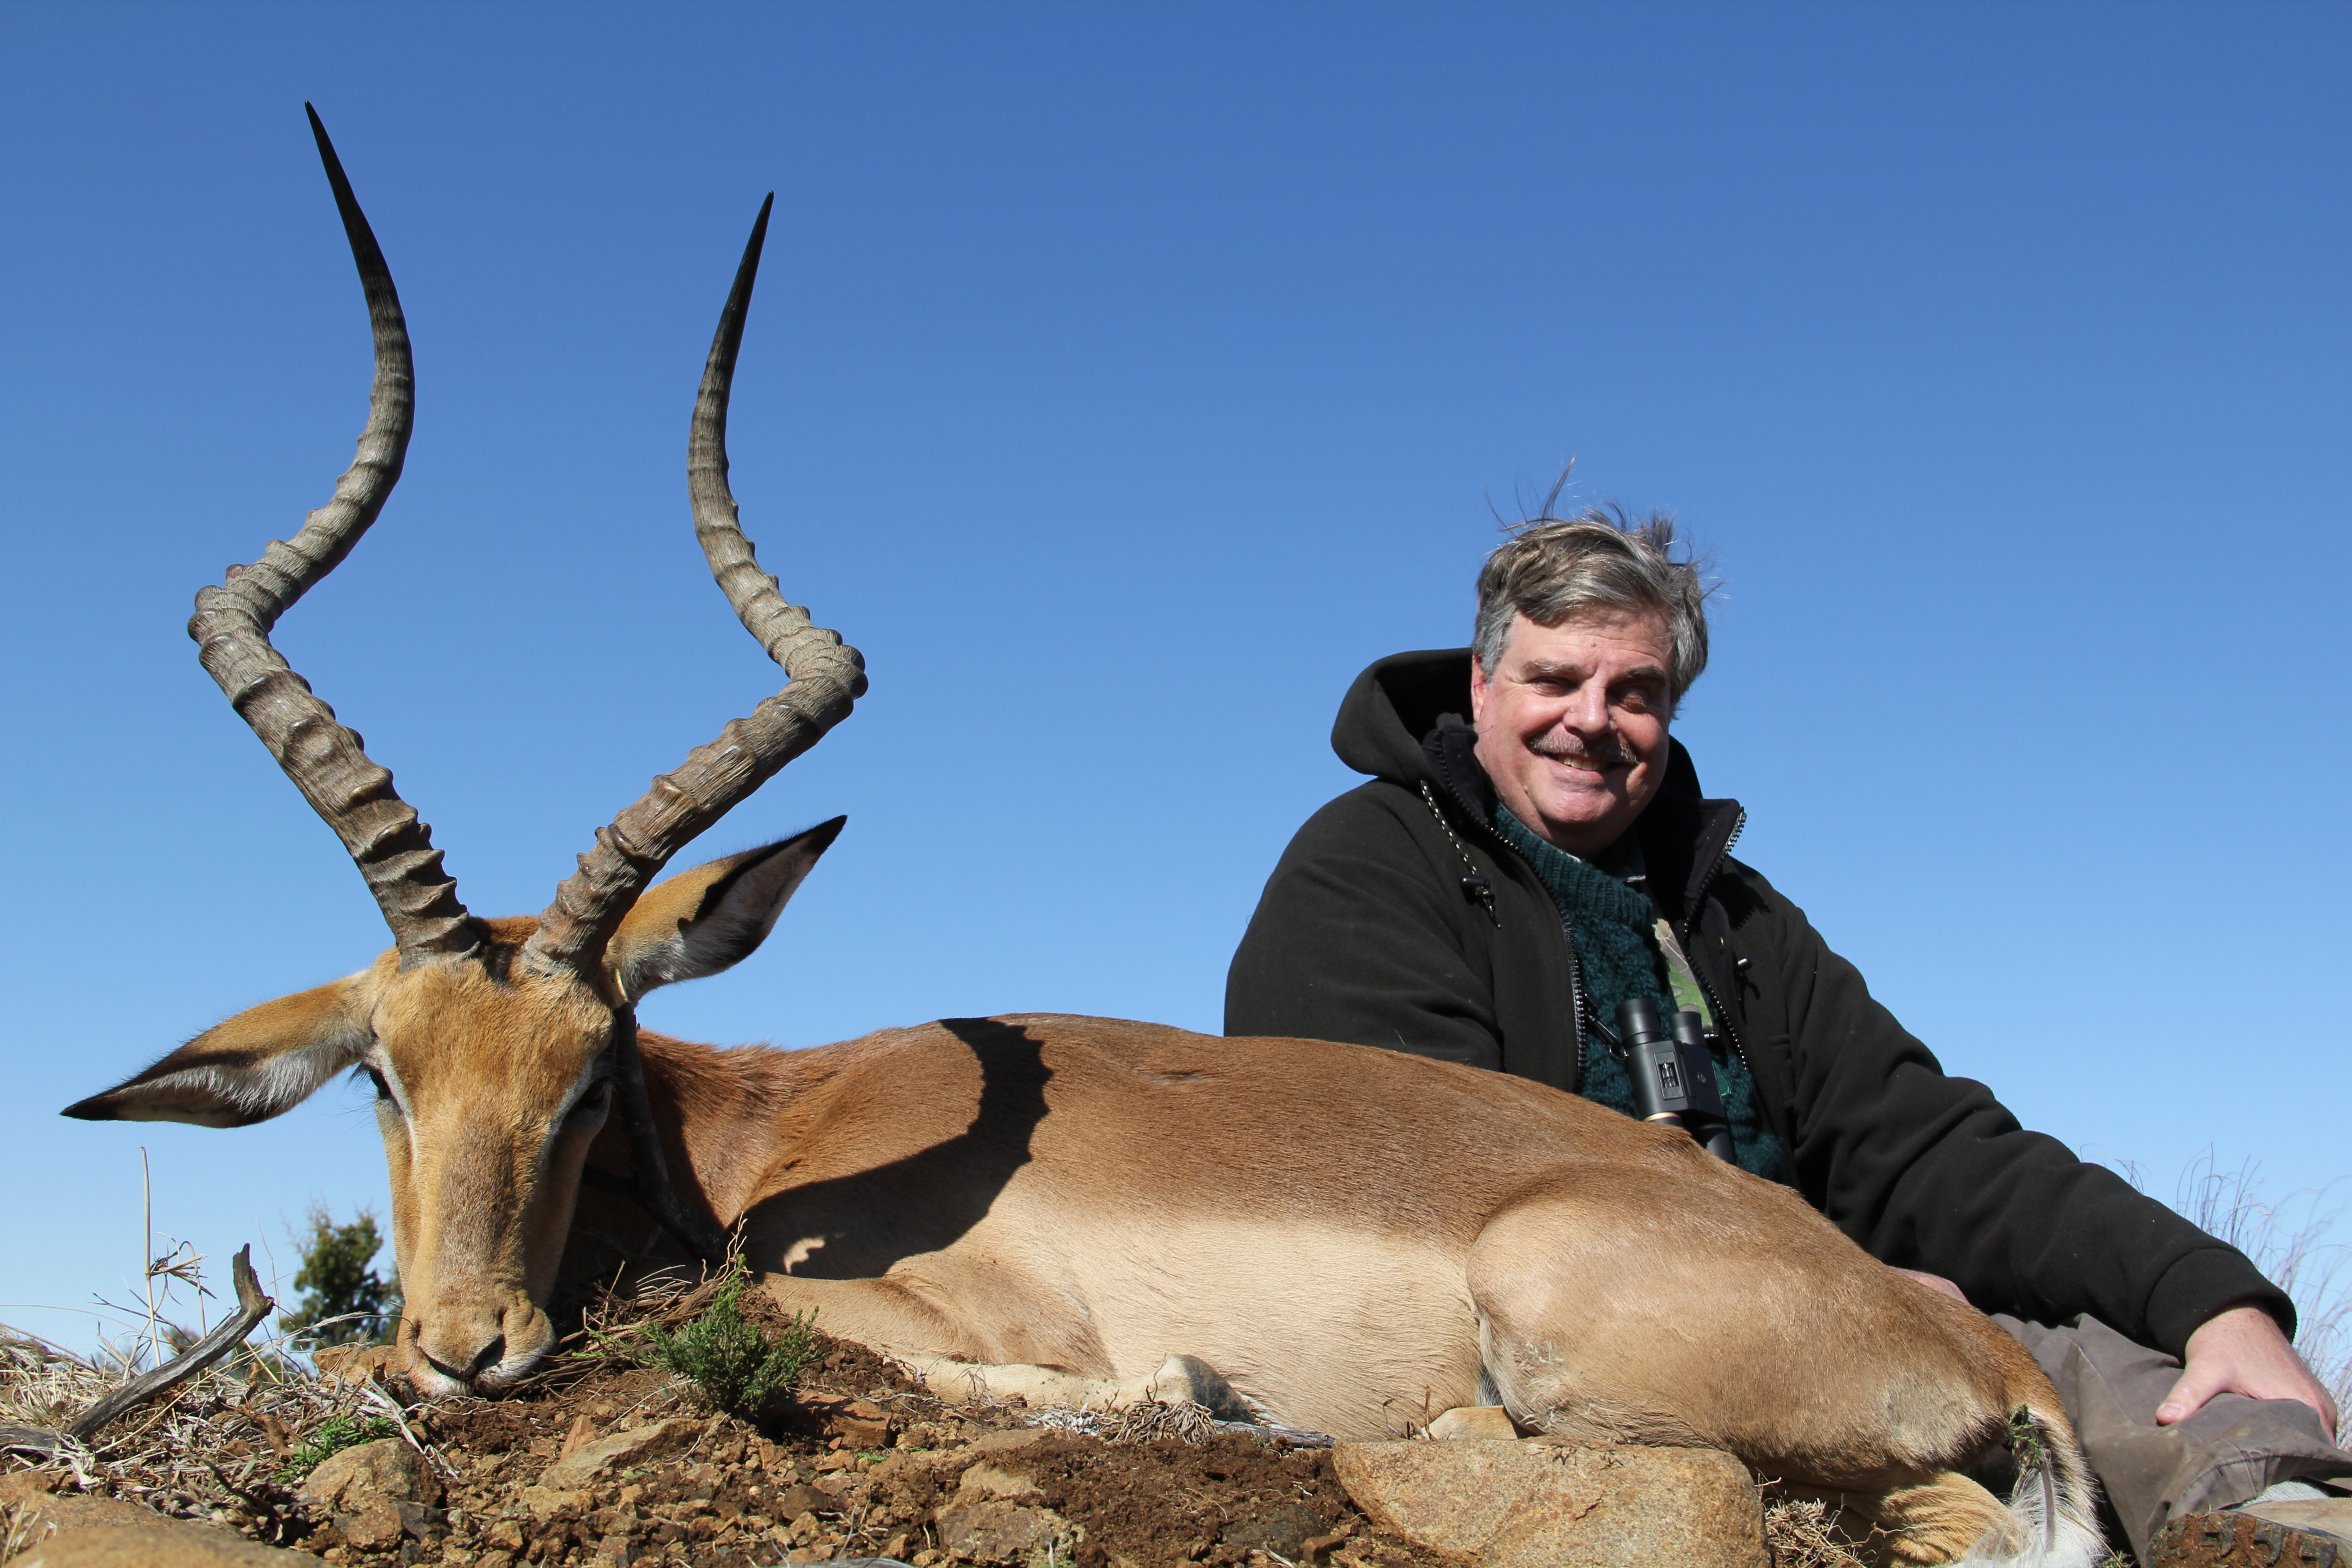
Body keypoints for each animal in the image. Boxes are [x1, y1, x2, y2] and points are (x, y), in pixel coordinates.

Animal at [66, 111, 2103, 1567]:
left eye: (589, 1072)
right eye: (384, 1078)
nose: (469, 1345)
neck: (771, 1133)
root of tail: (1976, 1344)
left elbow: (926, 1341)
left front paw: (1191, 1391)